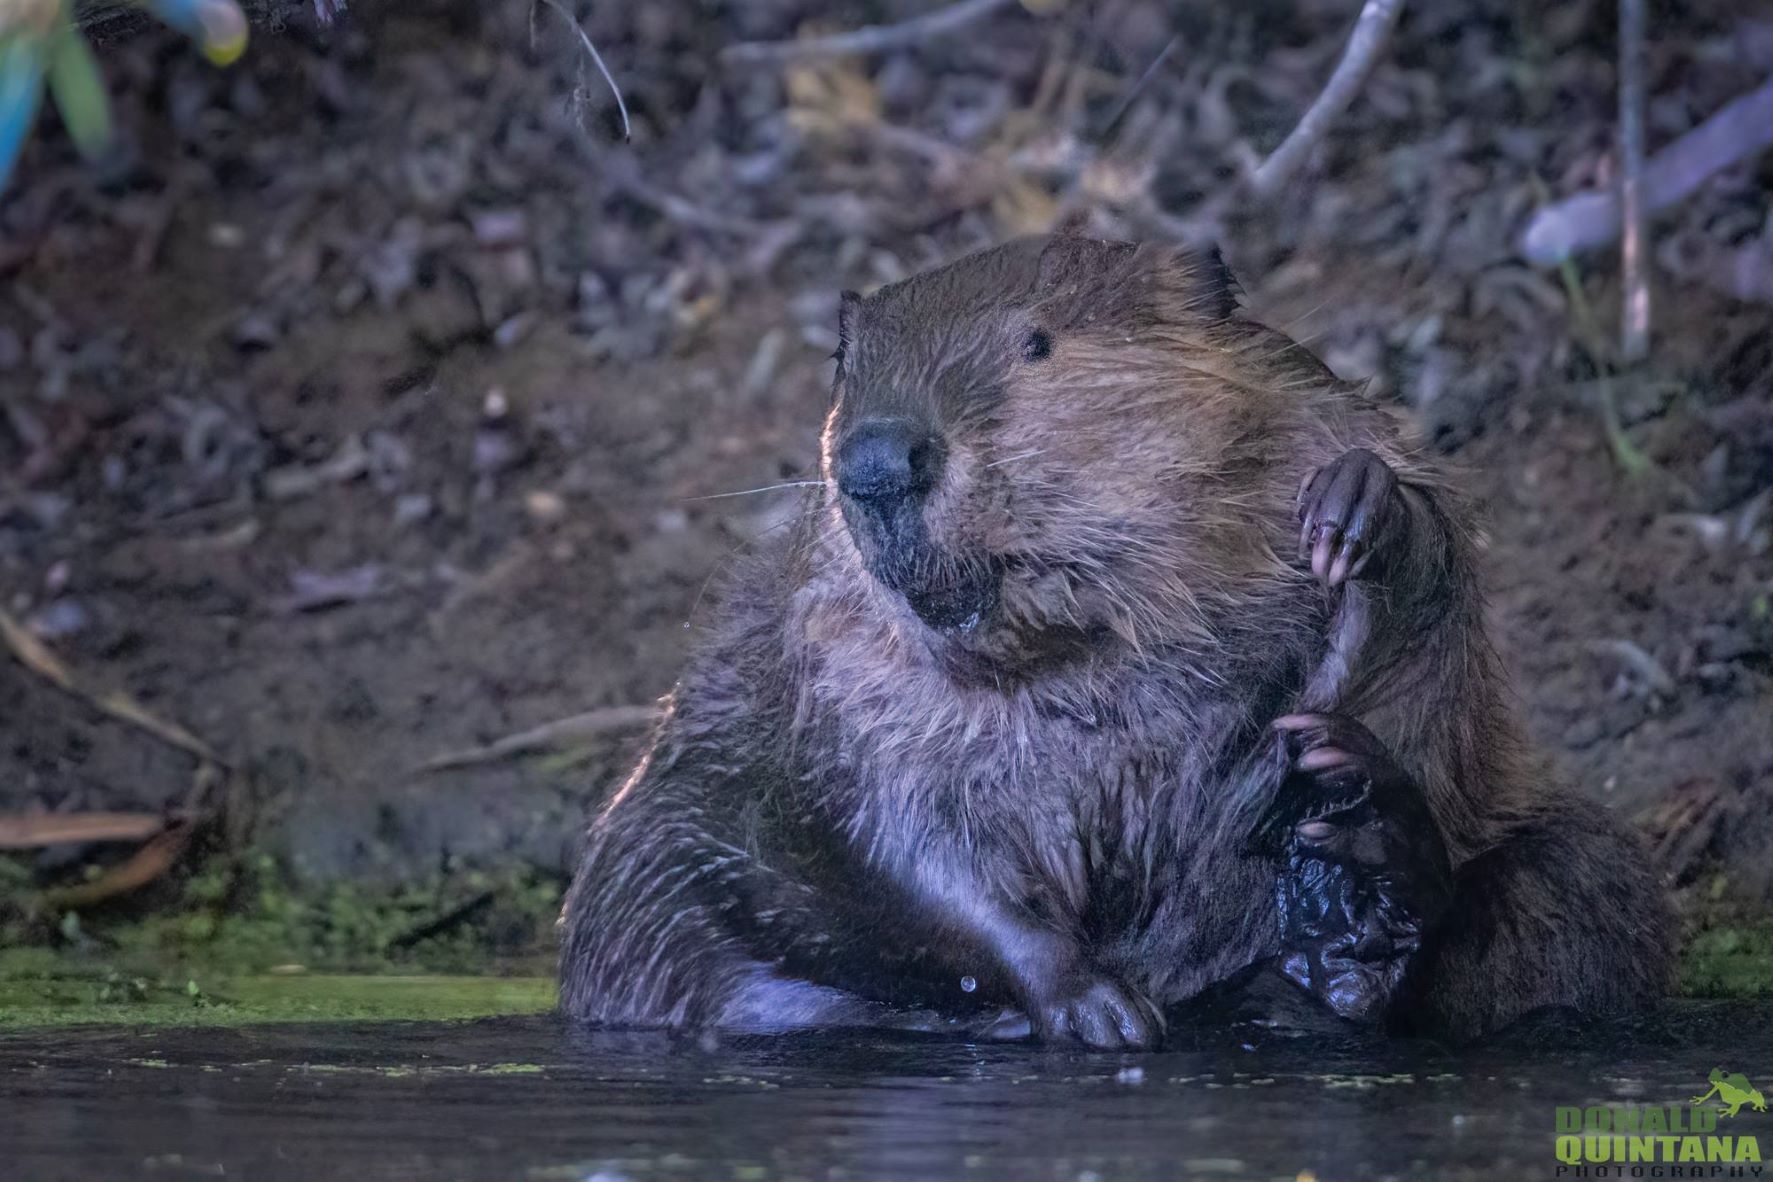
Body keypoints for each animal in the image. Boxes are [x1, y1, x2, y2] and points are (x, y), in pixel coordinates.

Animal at [560, 233, 1666, 1042]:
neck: (1079, 634)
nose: (874, 462)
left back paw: (1358, 865)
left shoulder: (1307, 410)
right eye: (845, 365)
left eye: (1037, 343)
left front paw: (1353, 513)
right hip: (646, 902)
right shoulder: (832, 656)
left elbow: (1423, 619)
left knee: (1559, 909)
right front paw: (1099, 1008)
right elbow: (894, 832)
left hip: (1580, 876)